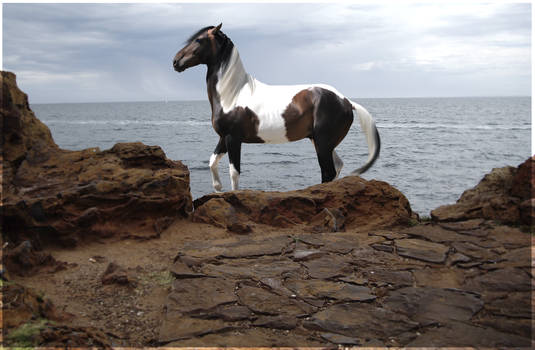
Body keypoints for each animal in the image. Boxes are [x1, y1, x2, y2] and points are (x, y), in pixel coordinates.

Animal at [173, 23, 382, 191]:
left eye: (199, 40)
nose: (176, 61)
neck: (232, 94)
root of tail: (346, 101)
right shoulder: (224, 138)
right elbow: (211, 162)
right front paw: (217, 188)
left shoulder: (233, 138)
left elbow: (234, 173)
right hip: (321, 141)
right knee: (337, 166)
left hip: (323, 142)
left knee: (328, 171)